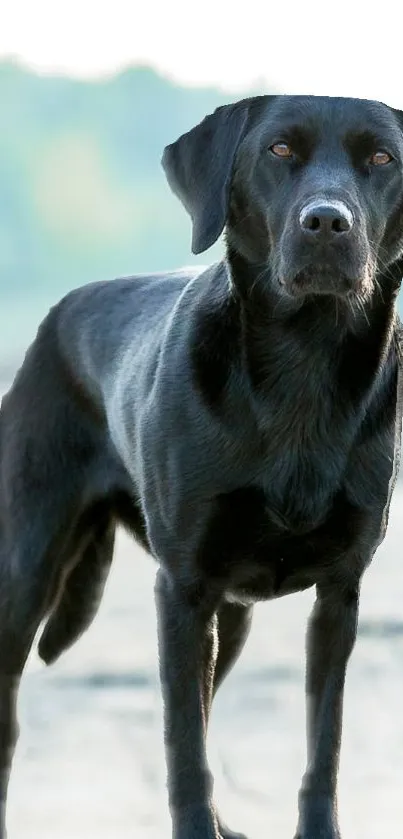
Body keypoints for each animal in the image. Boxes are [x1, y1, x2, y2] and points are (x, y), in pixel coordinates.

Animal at [0, 95, 403, 836]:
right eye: (278, 150)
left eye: (382, 158)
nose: (326, 222)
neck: (304, 363)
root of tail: (59, 310)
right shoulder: (183, 591)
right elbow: (184, 741)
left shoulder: (339, 596)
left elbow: (322, 742)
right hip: (25, 573)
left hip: (230, 615)